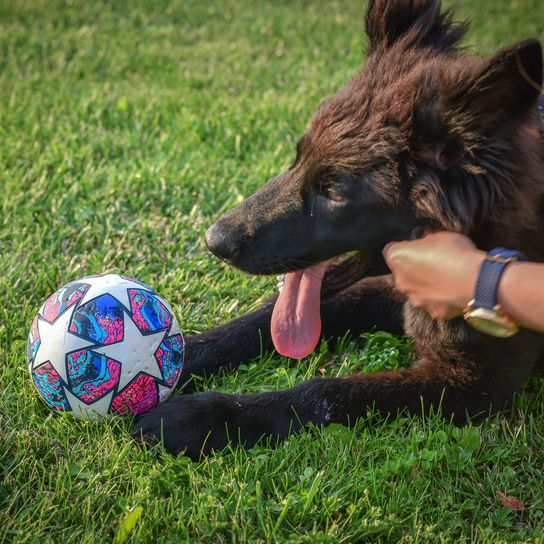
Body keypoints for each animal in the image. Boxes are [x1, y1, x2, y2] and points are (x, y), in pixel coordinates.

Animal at [133, 0, 544, 460]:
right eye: (297, 157)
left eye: (333, 192)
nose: (214, 241)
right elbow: (257, 320)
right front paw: (176, 359)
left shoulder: (475, 382)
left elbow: (327, 392)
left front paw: (206, 417)